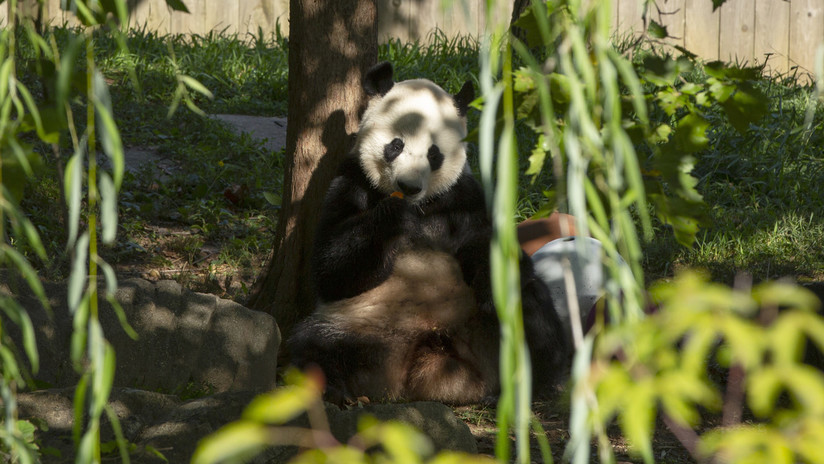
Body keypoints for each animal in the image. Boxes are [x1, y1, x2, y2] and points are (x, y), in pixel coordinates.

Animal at [288, 62, 569, 405]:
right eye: (396, 145)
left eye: (434, 154)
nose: (409, 186)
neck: (421, 207)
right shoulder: (352, 180)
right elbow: (331, 267)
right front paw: (393, 217)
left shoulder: (464, 198)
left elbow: (487, 245)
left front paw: (492, 288)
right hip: (359, 324)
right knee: (315, 345)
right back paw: (335, 391)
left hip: (484, 333)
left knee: (532, 310)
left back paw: (536, 384)